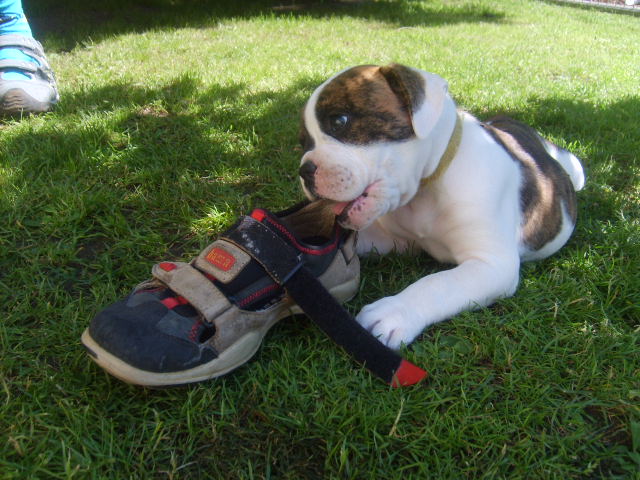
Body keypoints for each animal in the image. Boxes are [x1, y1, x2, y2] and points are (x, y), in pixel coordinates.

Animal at [298, 64, 585, 350]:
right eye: (305, 142)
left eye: (340, 121)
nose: (305, 171)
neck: (427, 186)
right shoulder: (394, 240)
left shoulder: (492, 264)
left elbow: (437, 284)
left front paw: (392, 313)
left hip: (571, 165)